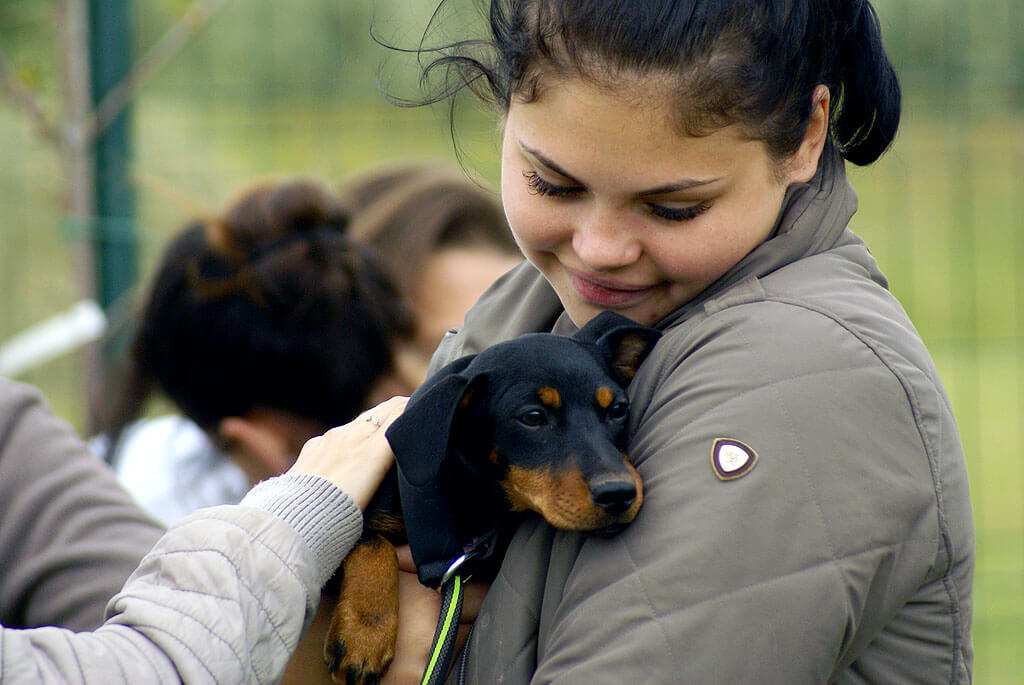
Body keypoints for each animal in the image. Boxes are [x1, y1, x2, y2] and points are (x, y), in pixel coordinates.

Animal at [324, 311, 661, 684]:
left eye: (618, 409)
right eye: (532, 417)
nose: (618, 494)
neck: (477, 501)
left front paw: (364, 635)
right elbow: (371, 544)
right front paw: (364, 636)